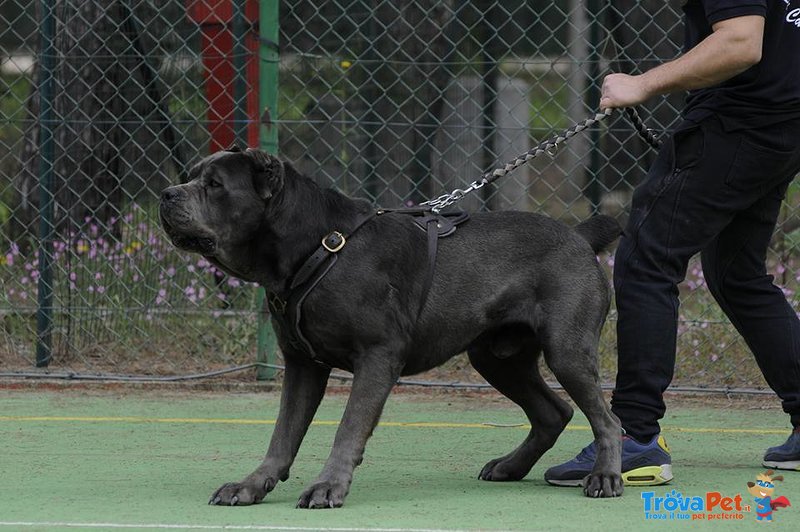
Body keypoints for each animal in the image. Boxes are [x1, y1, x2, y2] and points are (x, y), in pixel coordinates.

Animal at [161, 147, 624, 508]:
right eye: (190, 176)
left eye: (215, 184)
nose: (166, 194)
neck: (316, 246)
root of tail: (579, 236)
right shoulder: (302, 365)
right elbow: (283, 433)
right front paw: (252, 485)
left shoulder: (378, 355)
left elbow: (349, 426)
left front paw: (328, 486)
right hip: (496, 357)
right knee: (553, 412)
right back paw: (510, 466)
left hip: (566, 349)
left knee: (607, 419)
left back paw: (604, 477)